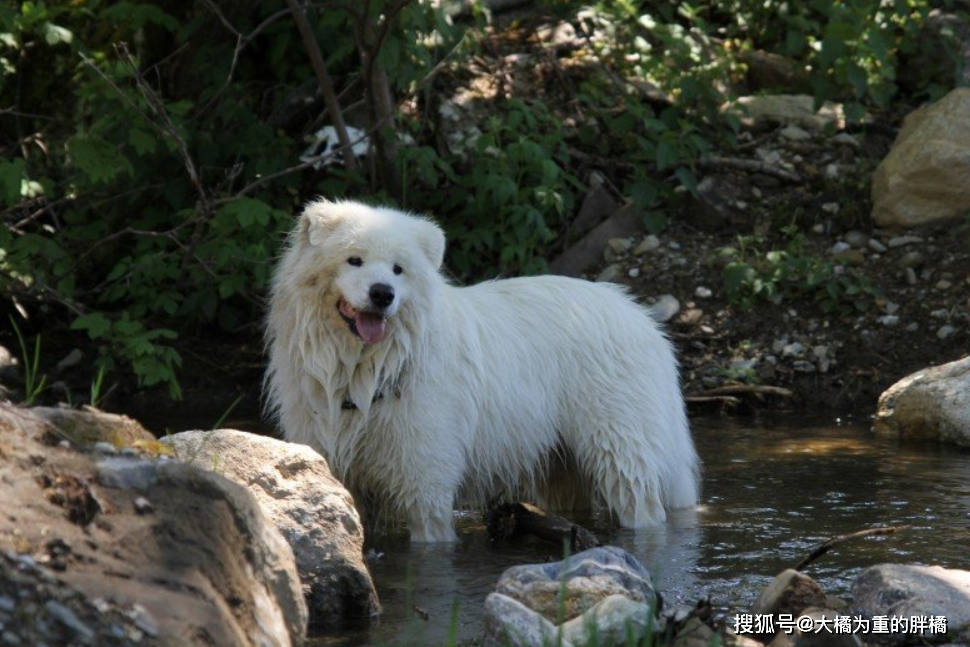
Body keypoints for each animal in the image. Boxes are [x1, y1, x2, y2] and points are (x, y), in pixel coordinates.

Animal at [266, 199, 696, 540]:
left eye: (398, 269)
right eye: (353, 259)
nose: (382, 294)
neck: (365, 368)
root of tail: (644, 321)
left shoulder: (426, 479)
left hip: (619, 445)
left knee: (641, 501)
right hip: (561, 462)